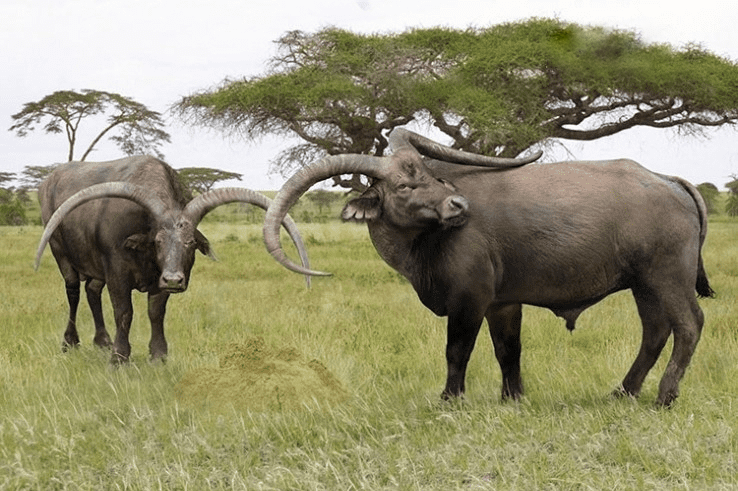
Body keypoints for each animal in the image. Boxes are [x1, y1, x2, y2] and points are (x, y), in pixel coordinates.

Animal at [36, 156, 308, 364]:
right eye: (158, 241)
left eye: (190, 243)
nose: (175, 280)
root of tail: (49, 181)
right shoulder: (117, 273)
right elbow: (124, 313)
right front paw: (120, 357)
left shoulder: (158, 281)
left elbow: (156, 313)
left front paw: (158, 355)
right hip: (61, 254)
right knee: (73, 292)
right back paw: (70, 341)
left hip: (95, 268)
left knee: (92, 291)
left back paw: (102, 341)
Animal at [262, 128, 712, 408]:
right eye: (405, 185)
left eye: (429, 173)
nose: (458, 205)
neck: (429, 239)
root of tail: (667, 179)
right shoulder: (503, 305)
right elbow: (508, 351)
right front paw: (512, 398)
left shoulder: (470, 301)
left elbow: (457, 350)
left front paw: (450, 399)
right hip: (644, 285)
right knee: (655, 332)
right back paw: (623, 392)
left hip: (668, 279)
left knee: (688, 326)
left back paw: (665, 396)